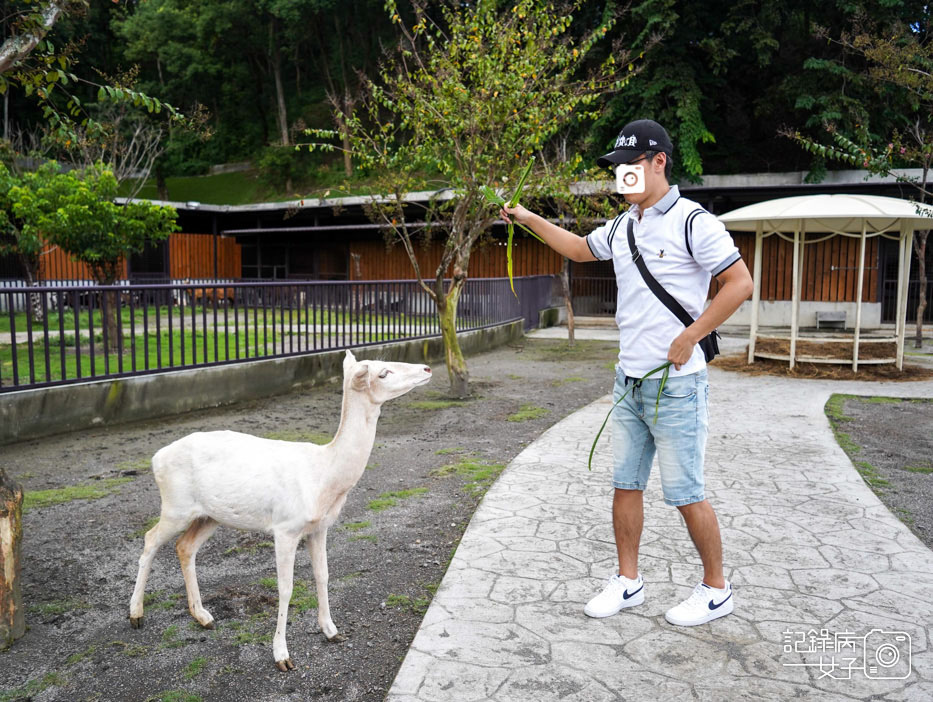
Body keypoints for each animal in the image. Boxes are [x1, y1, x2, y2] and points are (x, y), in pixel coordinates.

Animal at [128, 350, 434, 672]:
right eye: (383, 373)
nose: (427, 368)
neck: (324, 477)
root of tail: (156, 458)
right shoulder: (285, 528)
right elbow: (285, 588)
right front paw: (282, 655)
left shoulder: (319, 527)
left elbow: (323, 574)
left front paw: (332, 631)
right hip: (175, 505)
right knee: (150, 539)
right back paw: (136, 614)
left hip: (209, 515)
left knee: (184, 546)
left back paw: (202, 616)